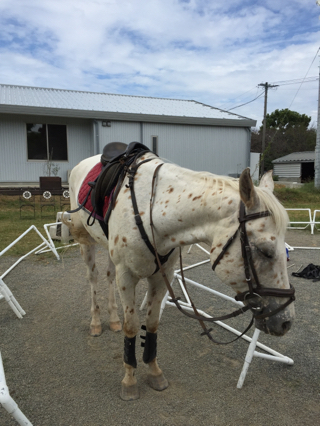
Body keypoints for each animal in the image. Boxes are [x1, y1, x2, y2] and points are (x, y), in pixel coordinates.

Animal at [67, 150, 296, 400]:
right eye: (265, 251)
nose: (286, 322)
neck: (152, 210)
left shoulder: (161, 276)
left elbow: (152, 325)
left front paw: (154, 372)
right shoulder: (126, 276)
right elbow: (132, 327)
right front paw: (129, 381)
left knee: (108, 276)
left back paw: (113, 320)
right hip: (86, 242)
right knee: (93, 278)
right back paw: (96, 323)